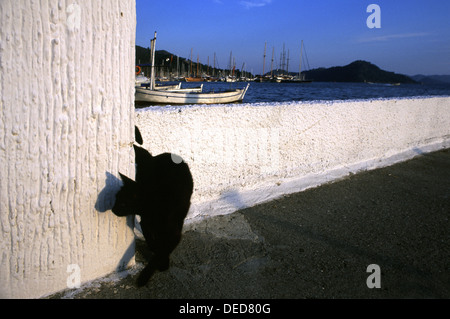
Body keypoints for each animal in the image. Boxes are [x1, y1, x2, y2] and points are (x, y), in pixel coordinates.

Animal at [112, 127, 193, 288]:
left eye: (122, 203)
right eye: (116, 199)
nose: (113, 209)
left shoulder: (173, 232)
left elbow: (163, 250)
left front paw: (147, 275)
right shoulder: (146, 222)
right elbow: (153, 242)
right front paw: (156, 252)